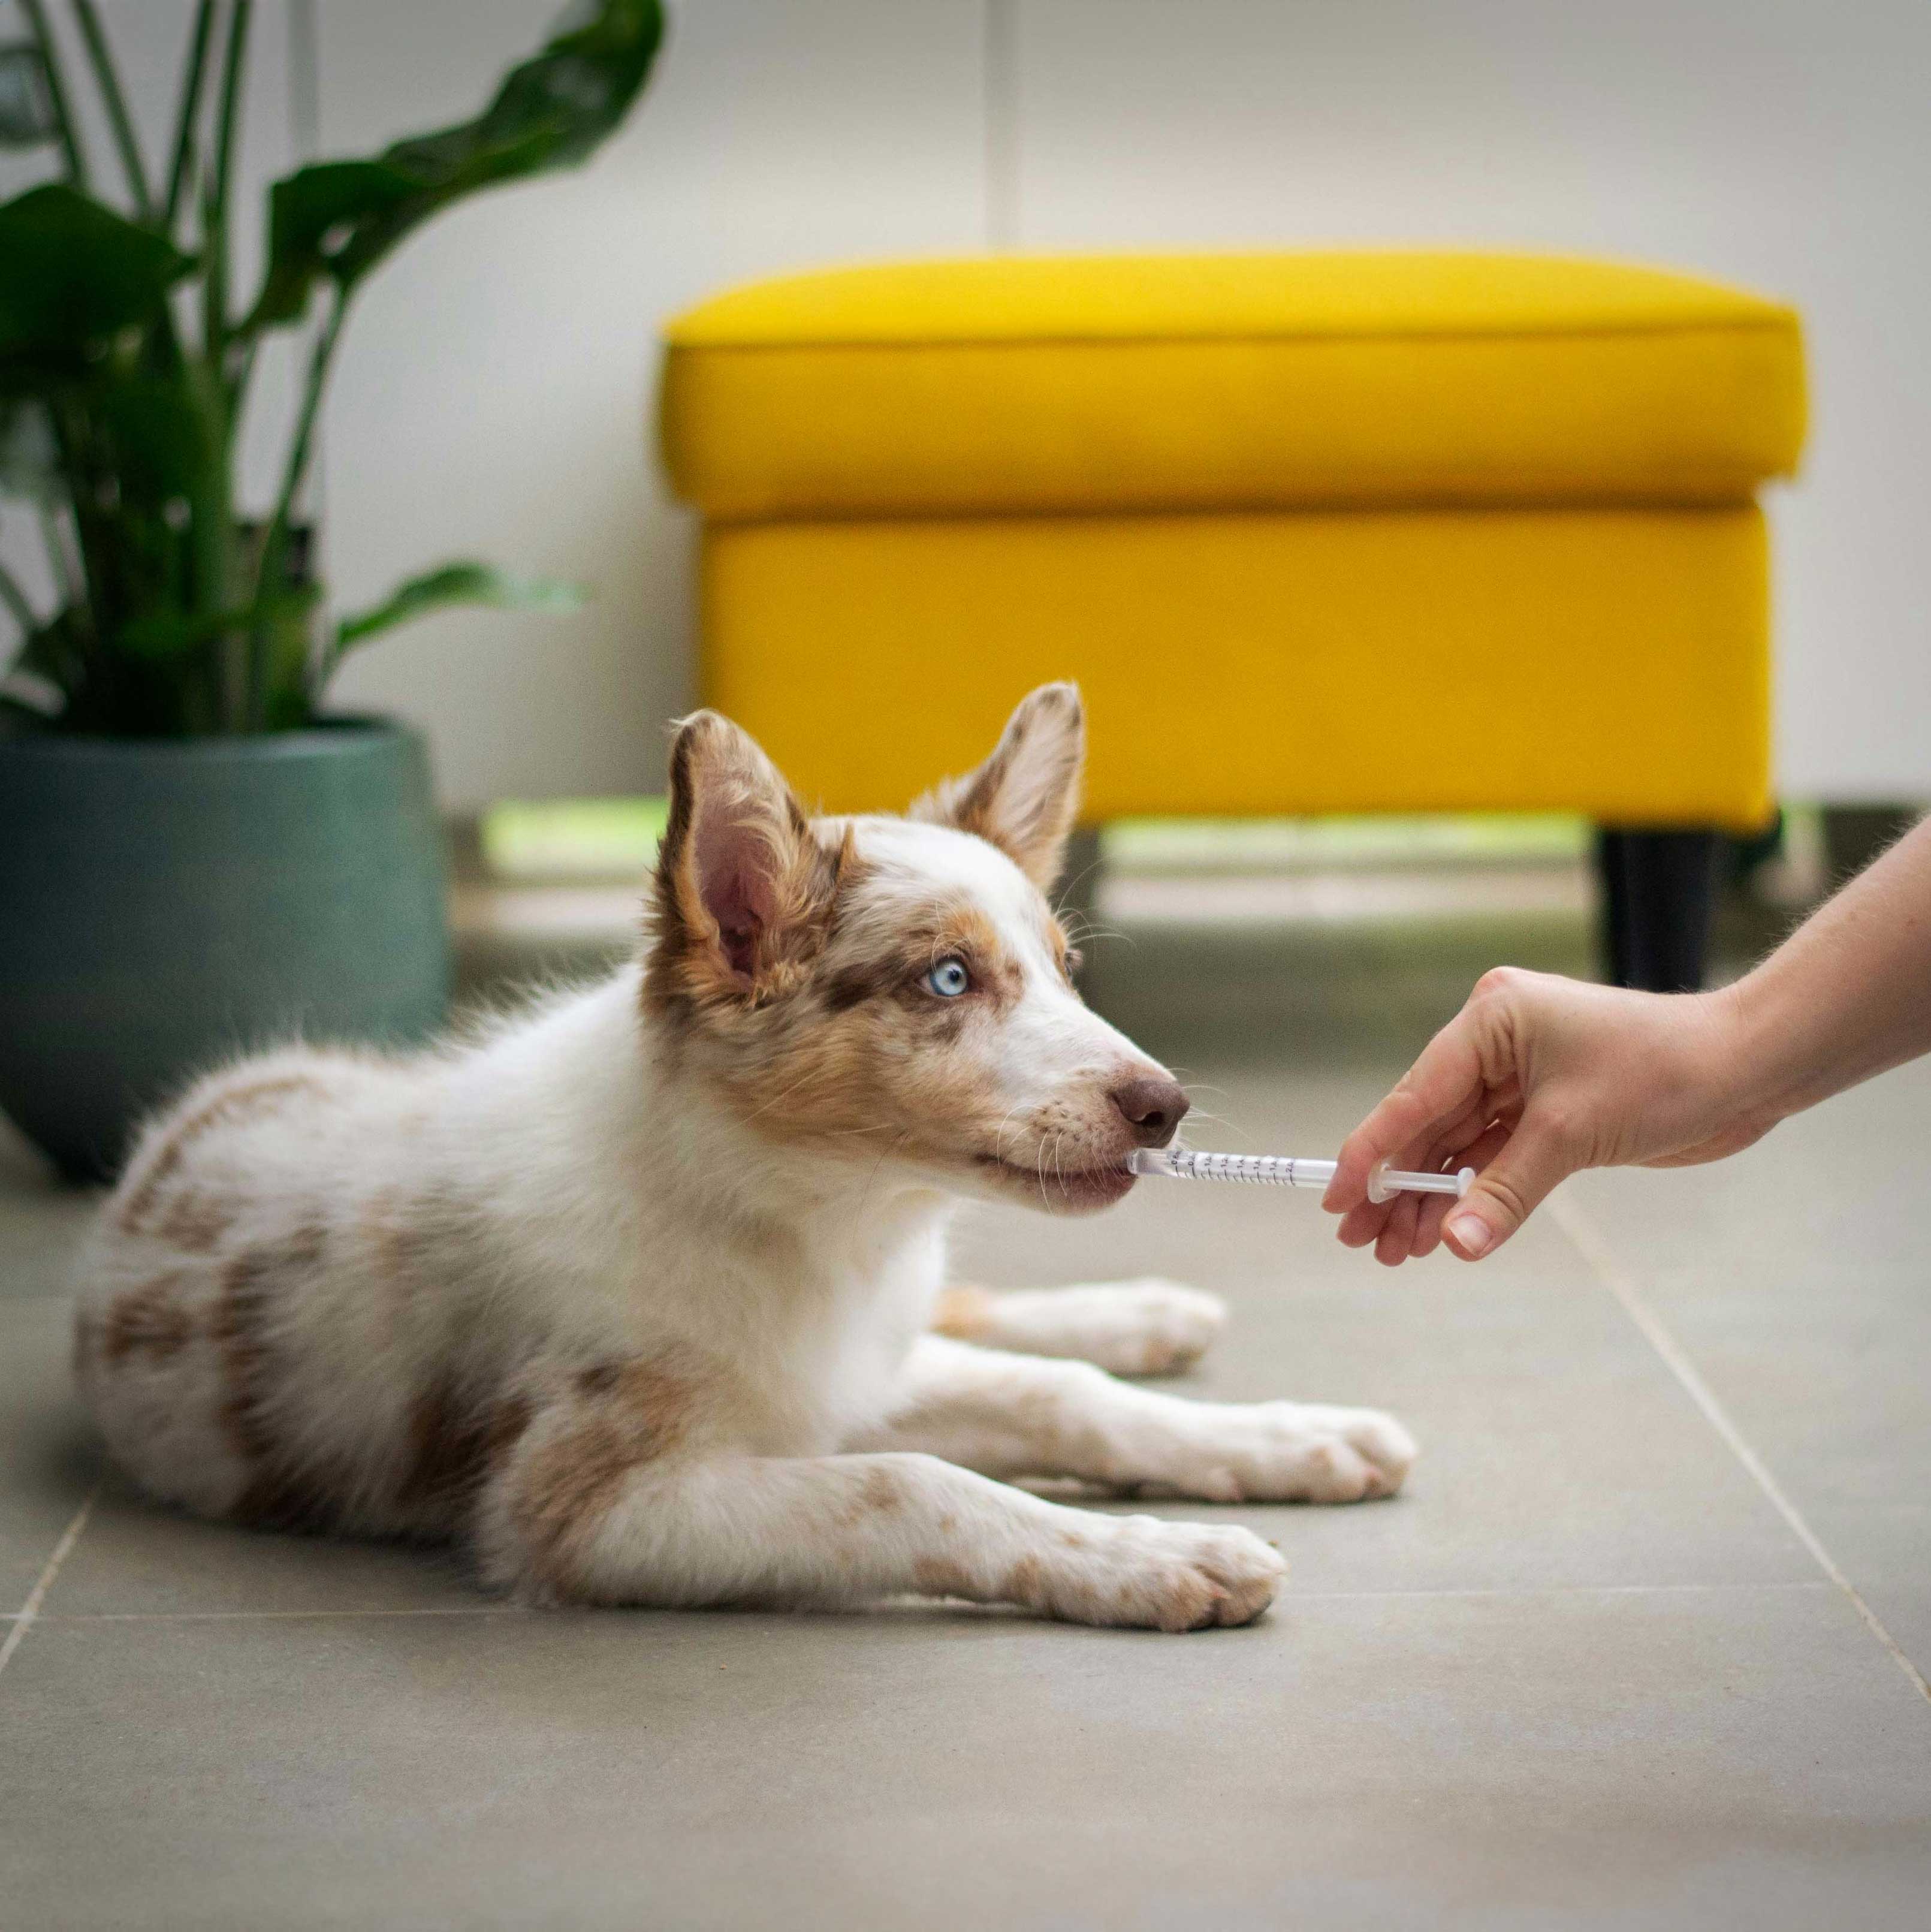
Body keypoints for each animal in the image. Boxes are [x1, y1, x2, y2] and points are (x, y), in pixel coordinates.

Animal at [75, 688, 1413, 1623]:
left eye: (1066, 969)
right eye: (948, 978)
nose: (1165, 1108)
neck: (804, 1218)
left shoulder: (844, 1369)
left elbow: (1058, 1396)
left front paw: (1280, 1441)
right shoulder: (588, 1507)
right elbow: (918, 1482)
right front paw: (1157, 1556)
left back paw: (1150, 1315)